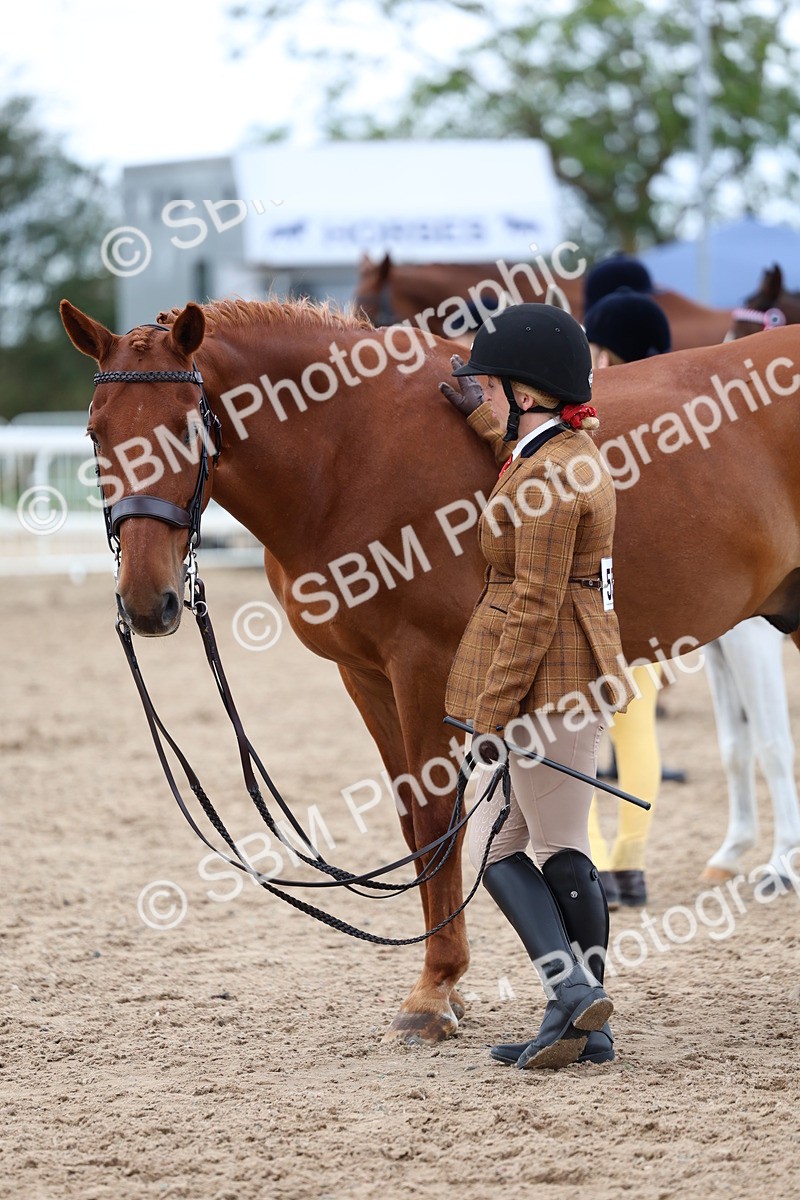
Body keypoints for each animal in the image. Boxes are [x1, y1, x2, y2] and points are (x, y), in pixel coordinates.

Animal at [59, 295, 800, 1044]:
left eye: (189, 428)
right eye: (95, 435)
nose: (146, 602)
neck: (350, 452)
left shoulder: (425, 667)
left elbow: (438, 815)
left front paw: (434, 992)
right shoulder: (367, 676)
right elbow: (415, 825)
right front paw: (447, 985)